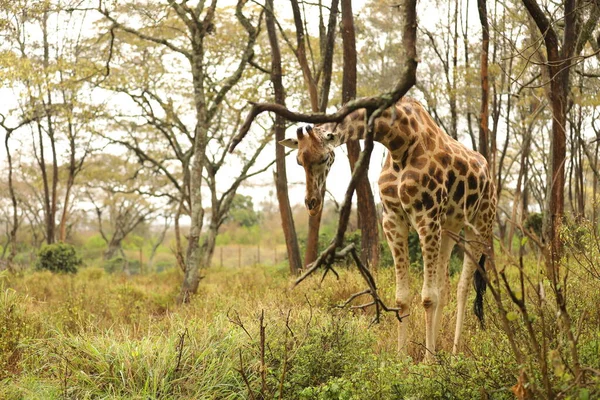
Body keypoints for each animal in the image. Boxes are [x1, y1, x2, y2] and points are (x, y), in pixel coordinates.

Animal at [282, 97, 496, 356]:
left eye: (324, 158)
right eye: (298, 161)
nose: (312, 204)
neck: (398, 143)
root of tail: (488, 171)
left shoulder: (426, 218)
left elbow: (428, 297)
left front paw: (428, 361)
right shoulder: (393, 221)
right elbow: (403, 298)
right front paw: (402, 357)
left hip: (479, 225)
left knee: (463, 286)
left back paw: (454, 354)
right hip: (448, 228)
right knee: (444, 288)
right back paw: (440, 350)